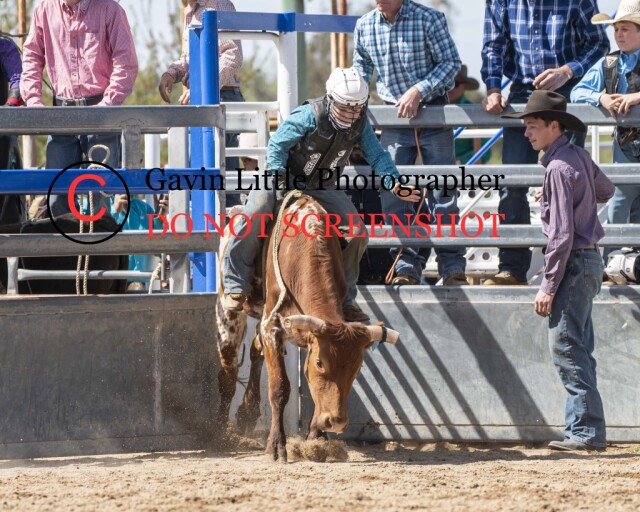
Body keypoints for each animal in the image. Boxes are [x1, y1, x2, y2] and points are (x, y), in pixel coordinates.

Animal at [216, 196, 399, 462]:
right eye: (321, 363)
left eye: (357, 366)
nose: (336, 422)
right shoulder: (273, 328)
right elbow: (279, 388)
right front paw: (277, 446)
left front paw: (317, 438)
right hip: (228, 315)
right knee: (228, 371)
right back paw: (221, 432)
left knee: (254, 351)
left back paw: (247, 412)